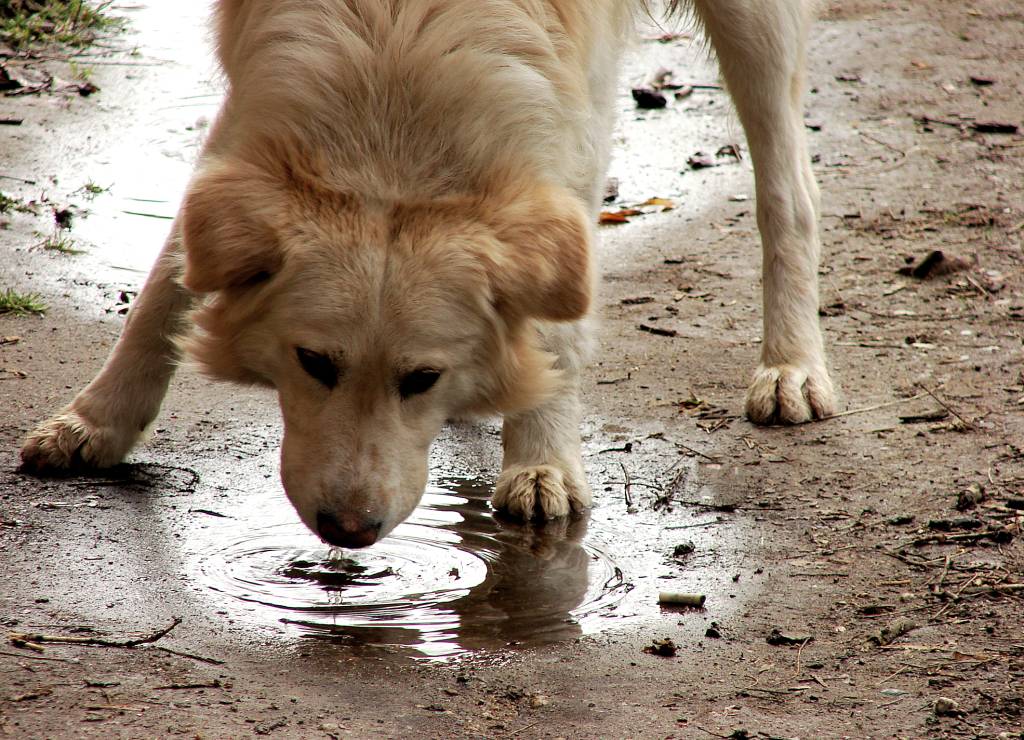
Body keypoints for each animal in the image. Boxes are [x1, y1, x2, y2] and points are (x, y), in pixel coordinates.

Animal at [16, 1, 835, 548]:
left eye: (421, 378)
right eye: (313, 363)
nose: (348, 533)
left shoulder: (566, 146)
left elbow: (559, 324)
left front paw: (543, 456)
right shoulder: (244, 135)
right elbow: (167, 282)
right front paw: (98, 419)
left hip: (758, 32)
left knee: (790, 188)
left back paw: (792, 365)